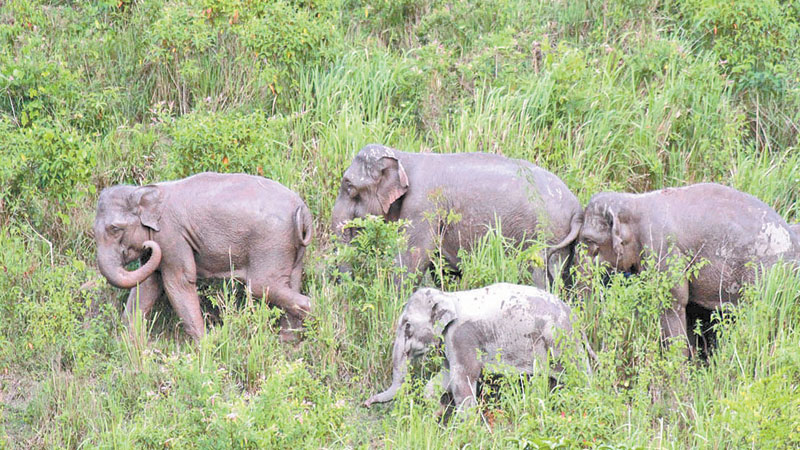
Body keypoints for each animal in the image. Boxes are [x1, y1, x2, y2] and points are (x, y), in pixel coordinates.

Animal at [93, 172, 313, 340]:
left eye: (114, 229)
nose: (148, 245)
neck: (143, 191)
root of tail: (302, 209)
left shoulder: (171, 236)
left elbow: (179, 281)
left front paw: (204, 345)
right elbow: (148, 284)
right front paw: (128, 342)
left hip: (272, 244)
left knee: (261, 286)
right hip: (292, 249)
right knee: (290, 283)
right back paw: (289, 341)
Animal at [330, 144, 582, 288]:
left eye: (349, 186)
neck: (404, 157)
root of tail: (576, 210)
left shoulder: (423, 205)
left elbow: (413, 259)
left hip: (543, 233)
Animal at [365, 283, 591, 411]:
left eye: (407, 325)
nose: (366, 403)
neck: (448, 296)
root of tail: (573, 315)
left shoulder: (461, 335)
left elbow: (463, 378)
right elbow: (445, 376)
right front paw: (435, 412)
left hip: (561, 339)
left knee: (579, 374)